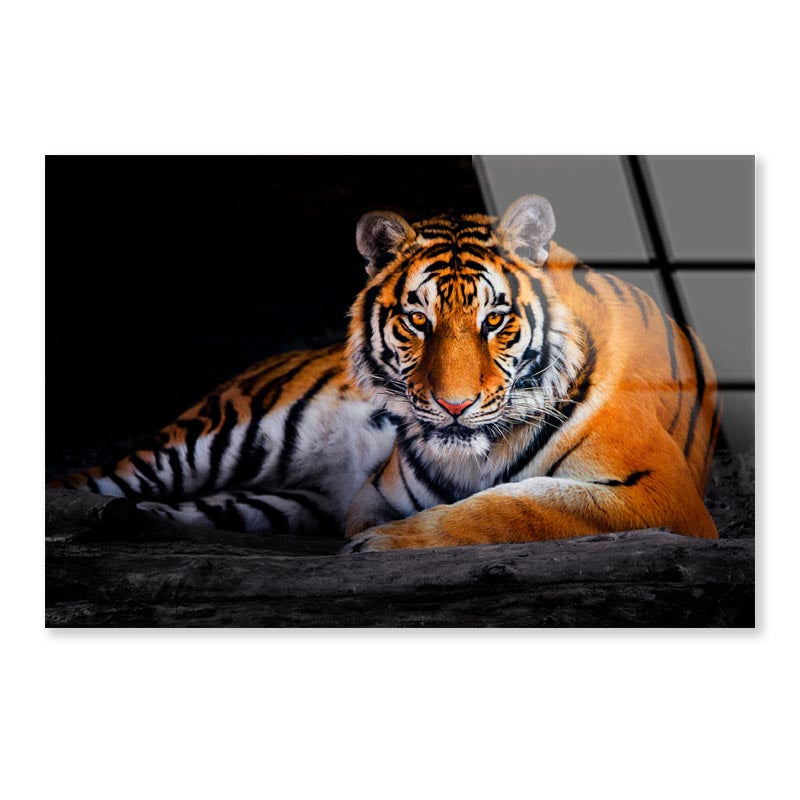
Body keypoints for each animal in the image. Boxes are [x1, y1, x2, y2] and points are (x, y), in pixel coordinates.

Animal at [49, 194, 720, 551]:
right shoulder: (378, 488)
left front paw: (386, 544)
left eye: (495, 319)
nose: (453, 406)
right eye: (418, 320)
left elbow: (516, 505)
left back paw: (125, 523)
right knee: (84, 479)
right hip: (223, 437)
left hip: (268, 503)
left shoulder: (661, 491)